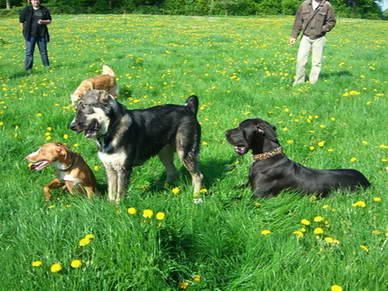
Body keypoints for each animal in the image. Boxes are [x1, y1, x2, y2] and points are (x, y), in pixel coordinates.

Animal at [70, 90, 203, 203]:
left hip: (185, 153)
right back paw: (167, 189)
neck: (112, 129)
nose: (71, 127)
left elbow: (120, 193)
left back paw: (196, 196)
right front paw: (111, 206)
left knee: (198, 176)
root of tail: (188, 108)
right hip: (164, 154)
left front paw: (118, 208)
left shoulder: (124, 169)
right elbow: (111, 192)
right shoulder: (109, 168)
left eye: (84, 106)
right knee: (173, 171)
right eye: (76, 109)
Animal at [226, 118, 372, 198]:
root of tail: (367, 181)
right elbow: (234, 187)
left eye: (240, 128)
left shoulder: (259, 195)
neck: (266, 157)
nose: (225, 132)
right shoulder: (248, 185)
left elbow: (237, 200)